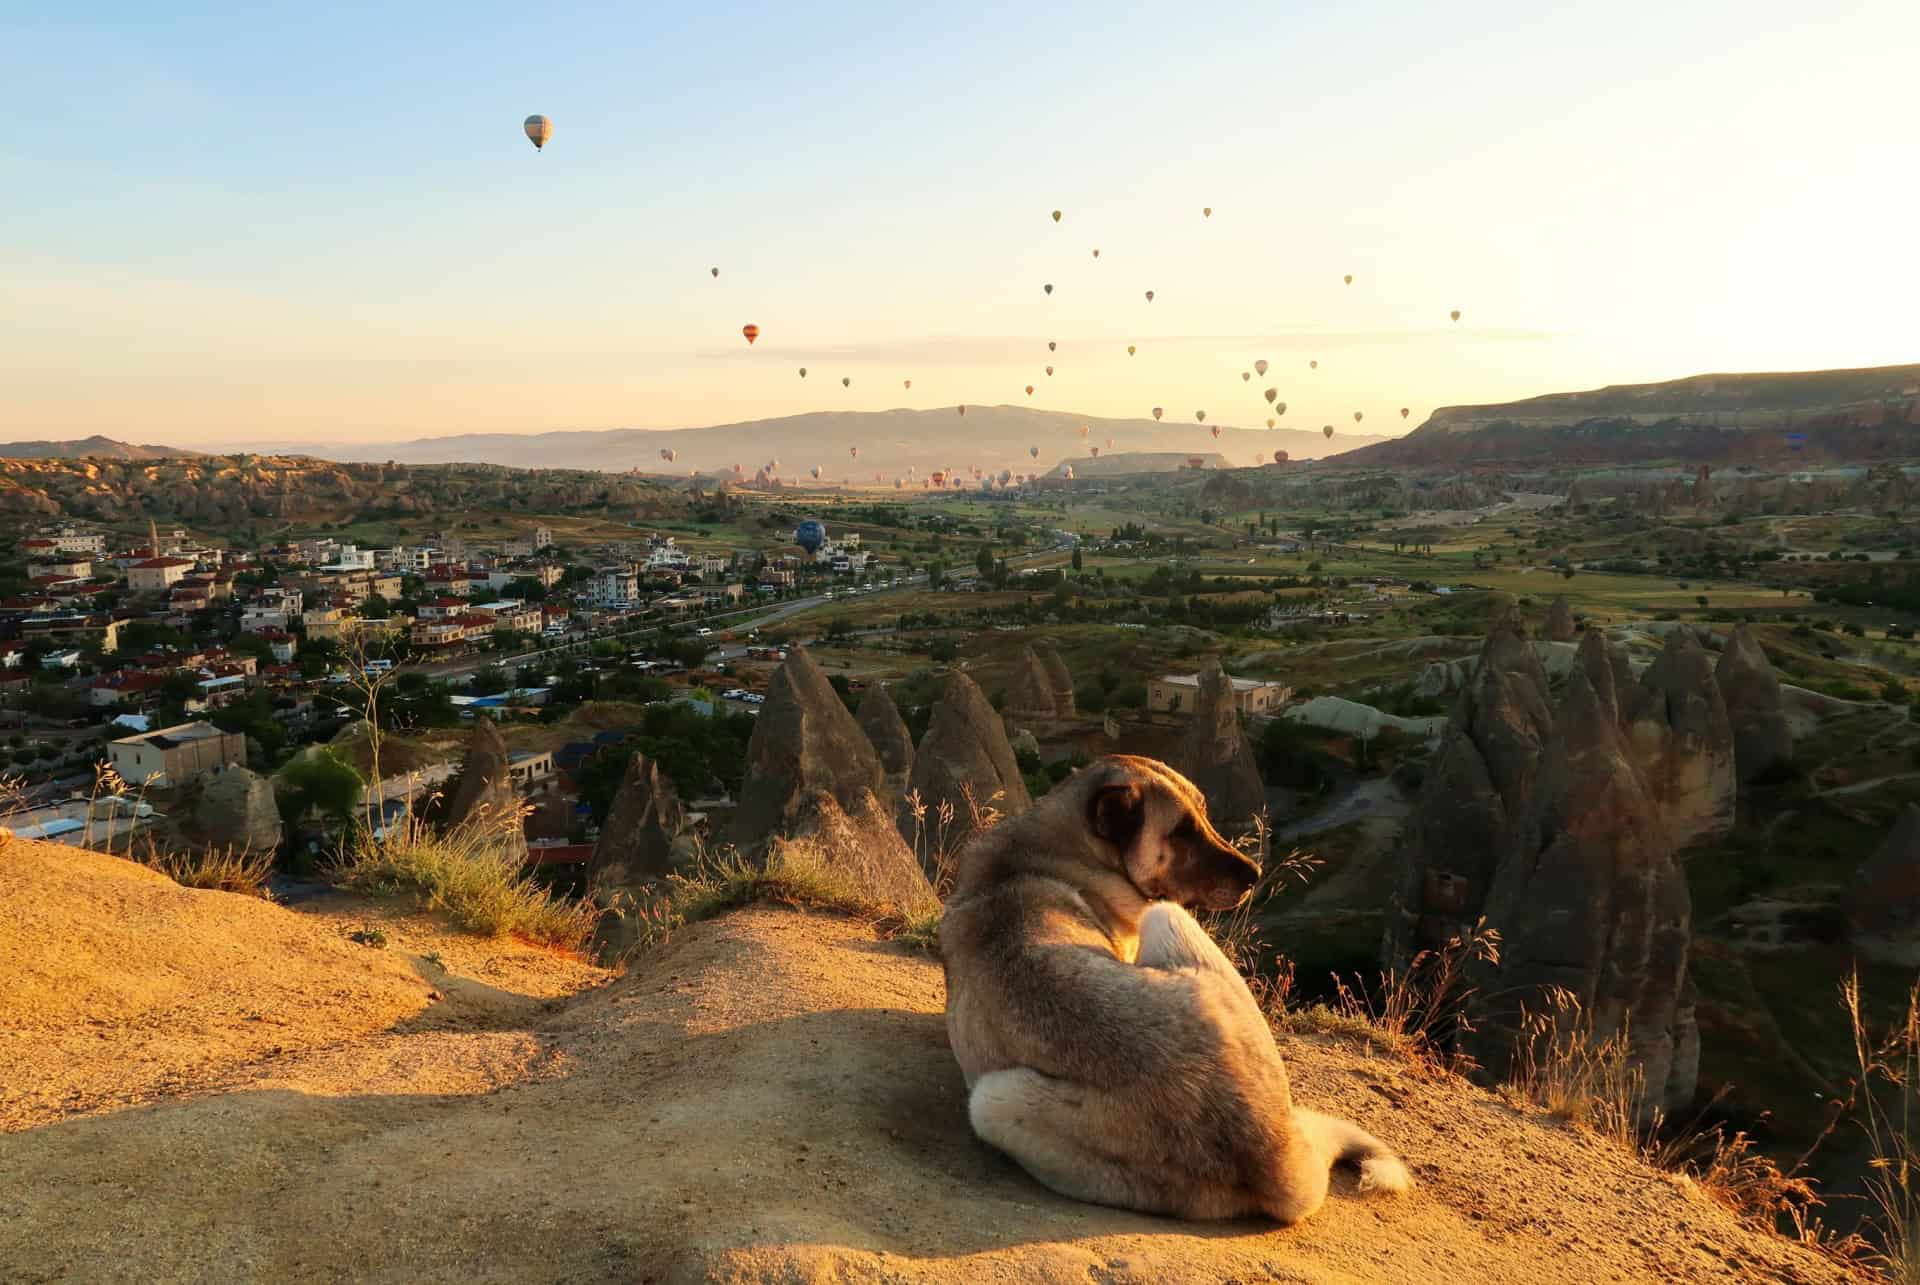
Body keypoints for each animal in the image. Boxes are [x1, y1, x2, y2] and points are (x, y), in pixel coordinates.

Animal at [940, 752, 1413, 1221]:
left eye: (1203, 813)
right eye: (1181, 831)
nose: (1255, 873)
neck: (1048, 852)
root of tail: (1271, 1155)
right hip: (995, 1097)